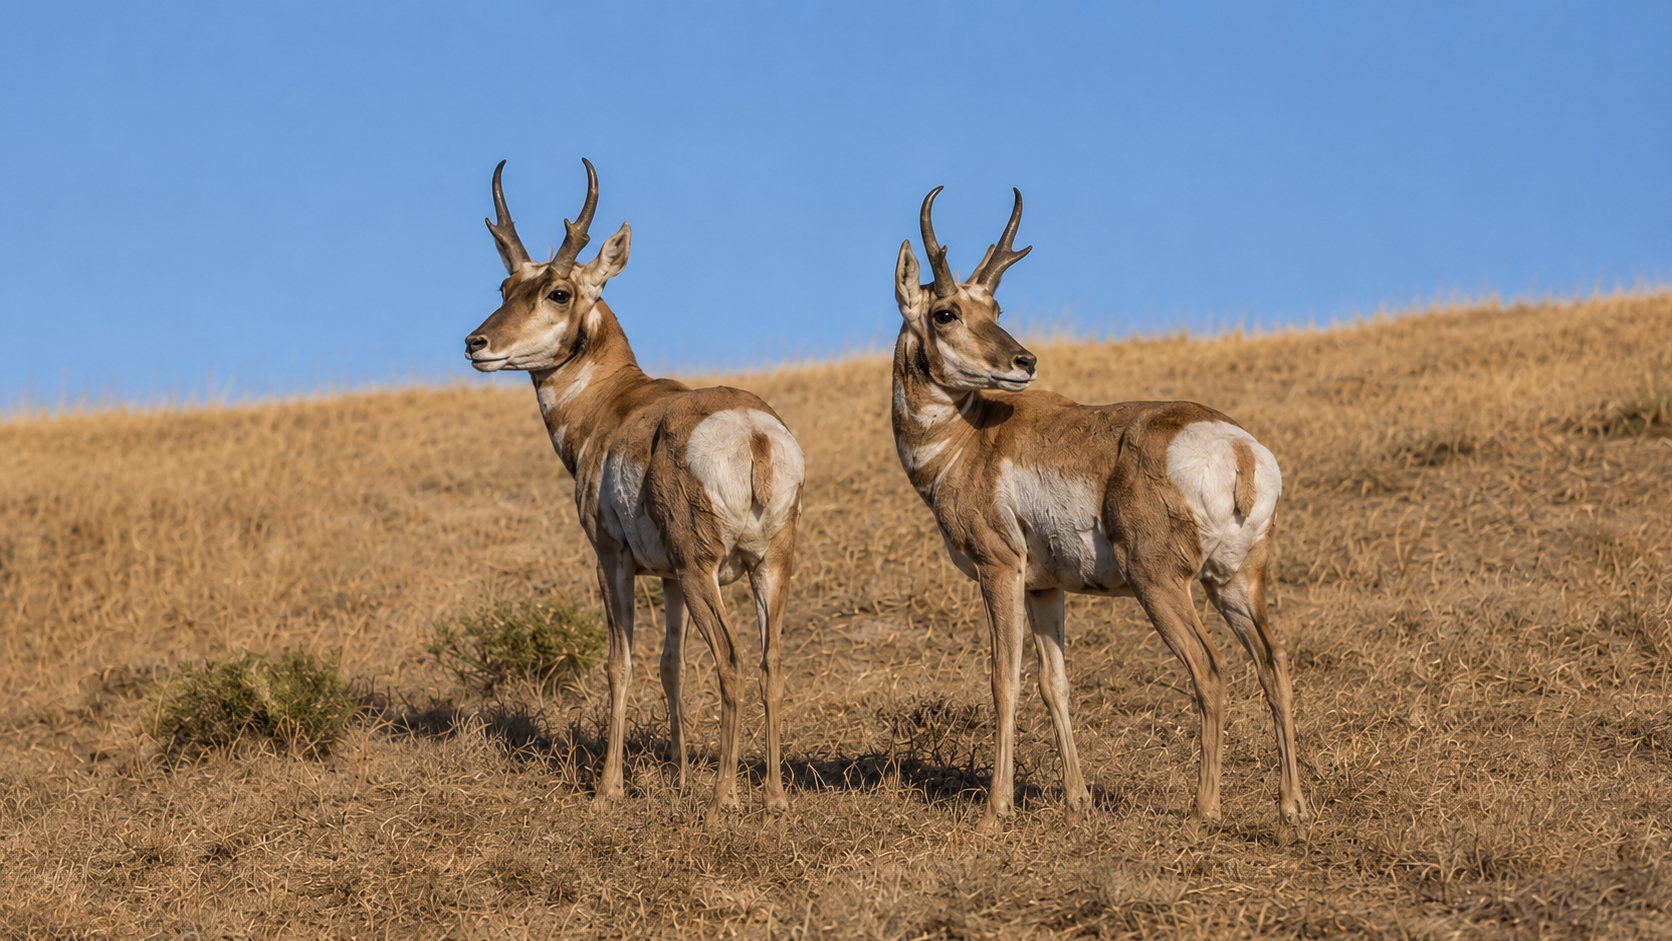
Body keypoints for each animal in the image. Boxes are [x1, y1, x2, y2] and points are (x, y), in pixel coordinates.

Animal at [465, 159, 806, 821]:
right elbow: (671, 666)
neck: (614, 402)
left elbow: (619, 664)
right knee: (771, 663)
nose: (476, 344)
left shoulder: (612, 559)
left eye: (559, 291)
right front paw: (677, 776)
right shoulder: (667, 578)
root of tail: (752, 431)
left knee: (731, 661)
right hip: (767, 568)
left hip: (706, 573)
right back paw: (774, 797)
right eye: (504, 287)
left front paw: (609, 787)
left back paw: (724, 798)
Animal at [889, 186, 1309, 835]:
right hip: (1235, 582)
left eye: (995, 306)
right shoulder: (1044, 588)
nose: (1024, 362)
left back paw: (1205, 807)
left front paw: (997, 808)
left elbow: (1004, 679)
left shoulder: (998, 571)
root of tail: (1235, 445)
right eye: (947, 312)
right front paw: (1077, 798)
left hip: (1158, 582)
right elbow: (1054, 683)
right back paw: (1290, 806)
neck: (970, 439)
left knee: (1209, 670)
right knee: (1275, 664)